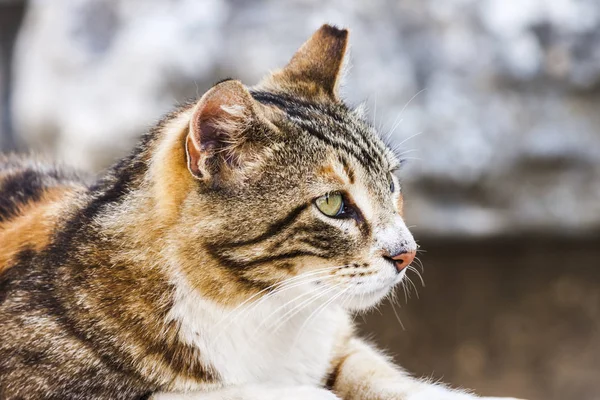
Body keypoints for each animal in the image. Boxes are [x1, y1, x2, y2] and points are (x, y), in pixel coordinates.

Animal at [0, 25, 520, 400]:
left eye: (390, 184)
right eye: (332, 204)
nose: (407, 253)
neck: (261, 309)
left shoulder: (340, 346)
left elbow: (383, 376)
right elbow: (192, 393)